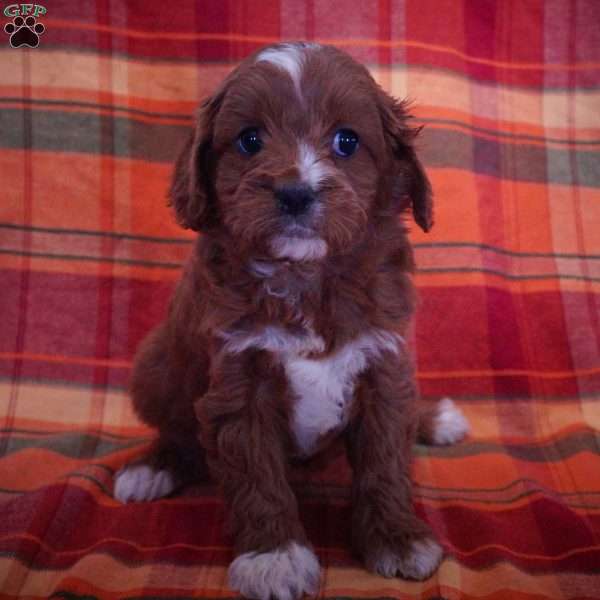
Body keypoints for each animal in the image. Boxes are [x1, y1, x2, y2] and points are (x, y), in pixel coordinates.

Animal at [112, 42, 468, 600]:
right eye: (250, 139)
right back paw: (152, 467)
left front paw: (397, 537)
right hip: (155, 363)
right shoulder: (239, 379)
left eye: (347, 141)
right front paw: (273, 556)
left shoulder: (384, 365)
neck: (305, 278)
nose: (296, 192)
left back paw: (436, 419)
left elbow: (385, 461)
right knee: (178, 427)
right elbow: (257, 475)